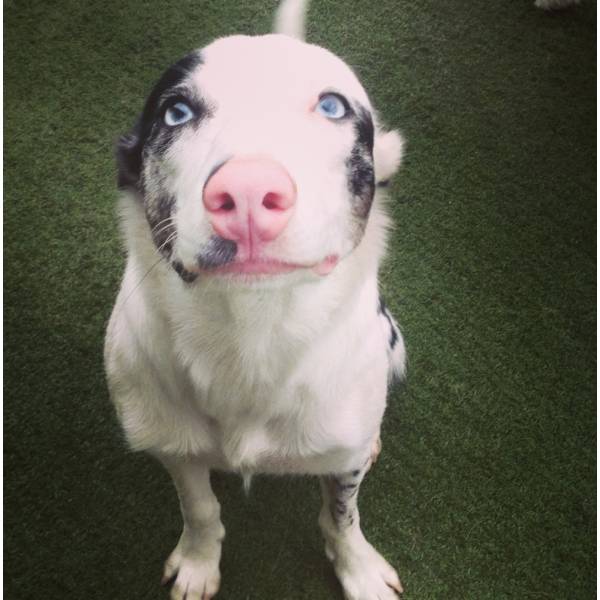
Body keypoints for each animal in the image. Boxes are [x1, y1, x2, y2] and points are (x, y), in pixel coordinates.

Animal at [105, 2, 408, 596]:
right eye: (175, 112)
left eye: (332, 106)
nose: (246, 192)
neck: (251, 334)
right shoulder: (170, 442)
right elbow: (199, 507)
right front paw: (199, 563)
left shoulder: (341, 454)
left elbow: (342, 515)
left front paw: (358, 569)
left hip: (394, 346)